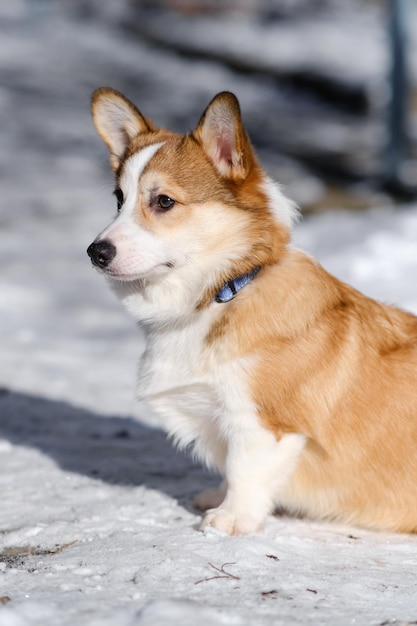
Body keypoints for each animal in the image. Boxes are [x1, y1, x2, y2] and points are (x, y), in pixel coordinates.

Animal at [88, 90, 416, 532]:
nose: (95, 252)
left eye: (164, 201)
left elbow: (243, 470)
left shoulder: (261, 423)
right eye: (119, 200)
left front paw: (229, 519)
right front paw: (217, 499)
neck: (224, 291)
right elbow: (228, 470)